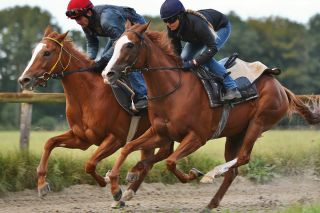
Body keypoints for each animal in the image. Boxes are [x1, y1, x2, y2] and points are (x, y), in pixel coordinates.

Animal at [18, 26, 152, 200]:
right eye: (34, 51)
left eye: (47, 53)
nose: (24, 80)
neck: (89, 94)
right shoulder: (81, 139)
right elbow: (50, 142)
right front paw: (42, 185)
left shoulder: (116, 138)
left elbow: (90, 164)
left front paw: (112, 186)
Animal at [102, 22, 320, 210]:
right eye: (115, 44)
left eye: (129, 45)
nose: (107, 74)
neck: (174, 89)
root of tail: (282, 88)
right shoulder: (160, 132)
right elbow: (128, 148)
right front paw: (117, 188)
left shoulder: (197, 137)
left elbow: (171, 162)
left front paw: (193, 174)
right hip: (235, 134)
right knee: (234, 170)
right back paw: (211, 203)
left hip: (258, 123)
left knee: (243, 157)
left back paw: (211, 174)